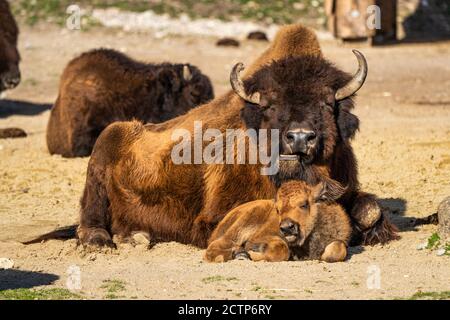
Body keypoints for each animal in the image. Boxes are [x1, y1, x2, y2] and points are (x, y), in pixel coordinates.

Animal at [204, 180, 352, 262]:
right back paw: (239, 254)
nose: (287, 228)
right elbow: (281, 249)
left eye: (304, 204)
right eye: (278, 210)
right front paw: (252, 252)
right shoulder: (260, 238)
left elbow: (338, 249)